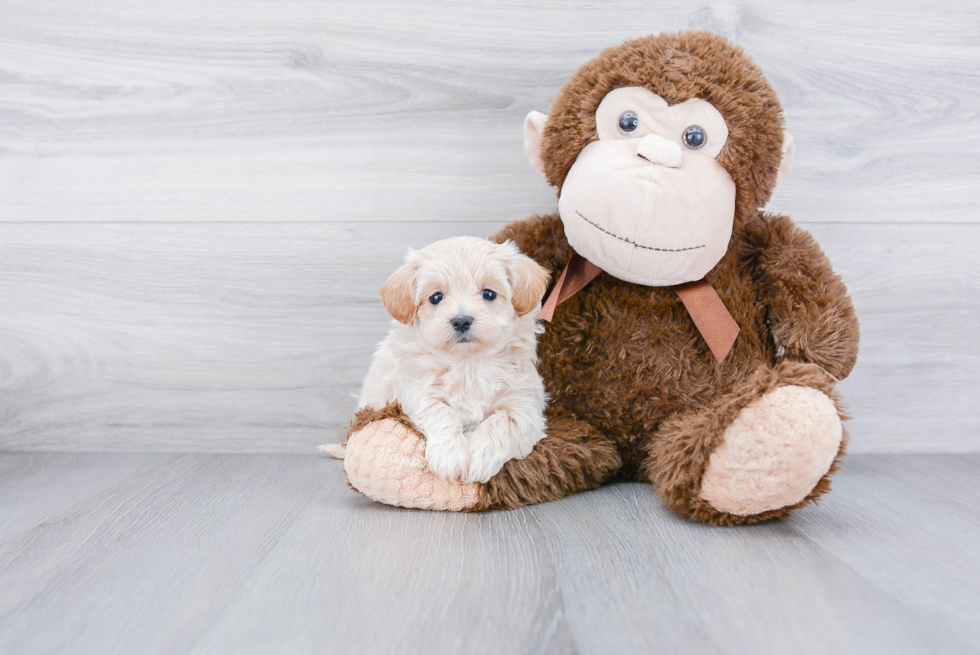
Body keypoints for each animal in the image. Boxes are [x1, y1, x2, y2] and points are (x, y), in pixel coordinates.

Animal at [334, 238, 552, 484]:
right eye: (436, 297)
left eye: (488, 294)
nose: (461, 321)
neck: (469, 364)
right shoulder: (417, 390)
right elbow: (439, 411)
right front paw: (450, 456)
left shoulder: (524, 405)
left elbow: (502, 423)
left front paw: (481, 458)